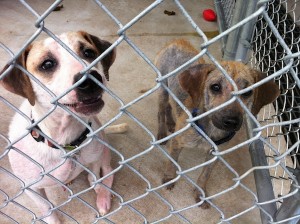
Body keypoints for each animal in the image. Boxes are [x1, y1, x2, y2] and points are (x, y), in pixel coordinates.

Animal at [0, 30, 126, 223]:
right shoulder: (30, 188)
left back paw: (103, 196)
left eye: (88, 52)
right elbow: (47, 208)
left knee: (108, 172)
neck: (64, 141)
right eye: (47, 64)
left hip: (104, 150)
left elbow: (95, 175)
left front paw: (97, 186)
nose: (91, 79)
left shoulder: (95, 157)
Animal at [156, 39, 280, 208]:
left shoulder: (215, 155)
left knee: (171, 106)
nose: (231, 121)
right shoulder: (177, 143)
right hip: (162, 89)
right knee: (161, 111)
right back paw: (162, 131)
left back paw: (170, 123)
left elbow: (204, 175)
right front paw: (170, 177)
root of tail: (178, 41)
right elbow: (172, 162)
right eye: (215, 87)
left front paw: (200, 192)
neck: (210, 131)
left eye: (247, 92)